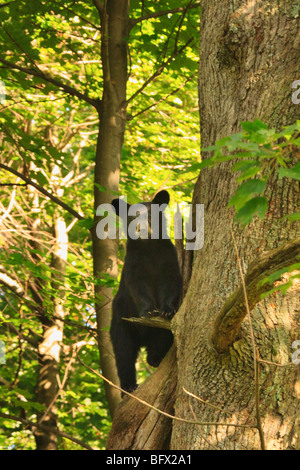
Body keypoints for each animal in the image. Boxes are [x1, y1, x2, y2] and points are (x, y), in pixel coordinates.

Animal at [109, 190, 182, 392]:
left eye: (150, 215)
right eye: (132, 217)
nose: (140, 229)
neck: (149, 248)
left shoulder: (168, 257)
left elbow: (171, 283)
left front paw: (166, 310)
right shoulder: (134, 263)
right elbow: (138, 287)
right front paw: (149, 310)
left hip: (158, 332)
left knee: (160, 340)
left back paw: (154, 359)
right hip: (120, 322)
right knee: (124, 354)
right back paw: (129, 386)